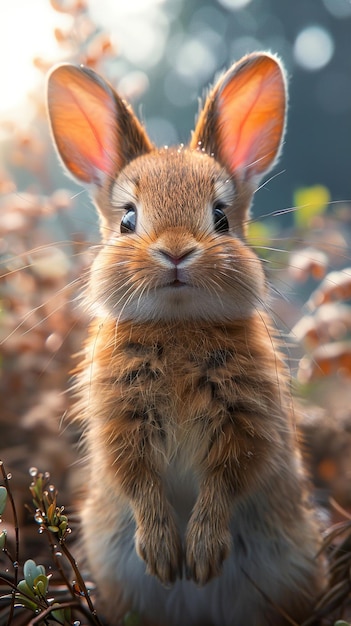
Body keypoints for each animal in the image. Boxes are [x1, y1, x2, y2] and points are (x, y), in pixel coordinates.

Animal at [46, 53, 328, 624]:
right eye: (128, 219)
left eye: (220, 217)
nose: (176, 251)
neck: (177, 327)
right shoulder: (120, 424)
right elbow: (137, 480)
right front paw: (161, 553)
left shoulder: (246, 422)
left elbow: (226, 479)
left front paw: (200, 556)